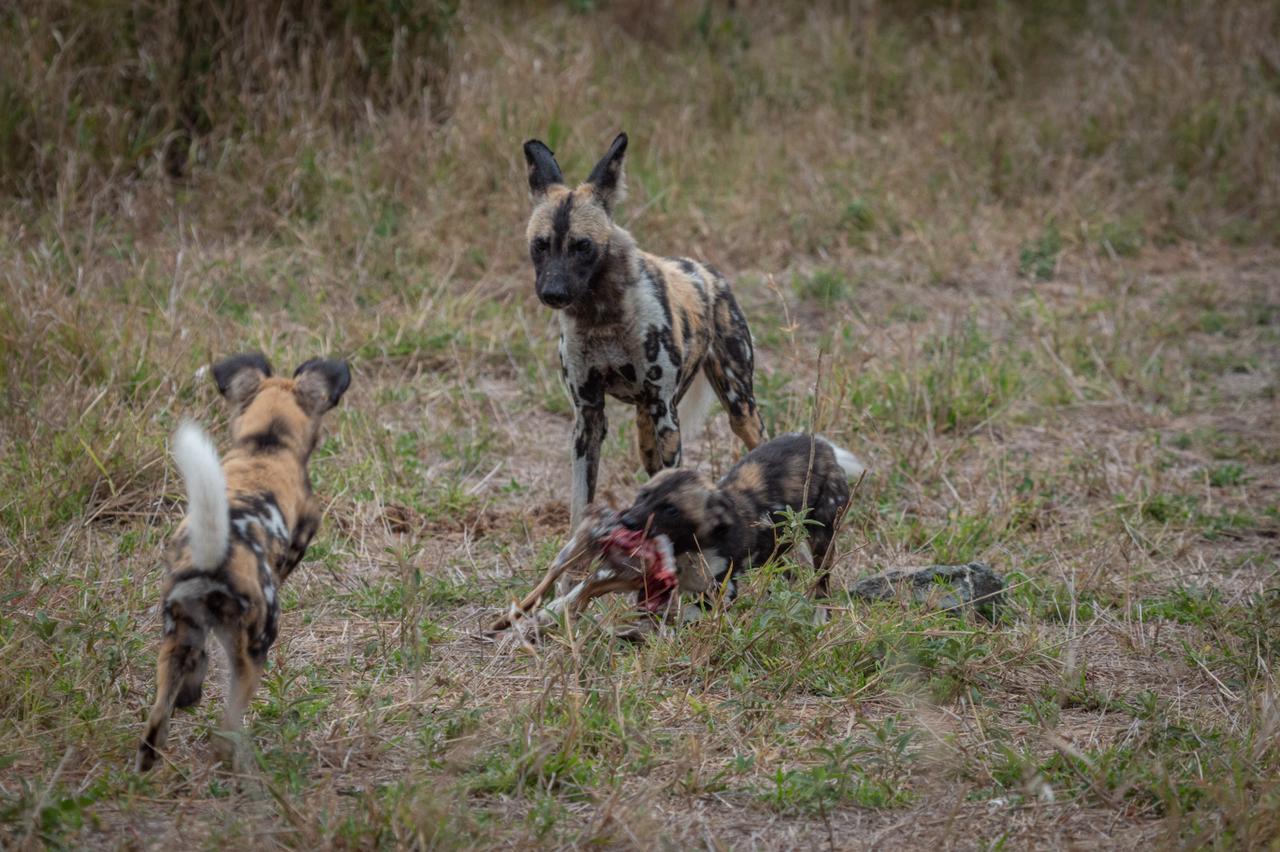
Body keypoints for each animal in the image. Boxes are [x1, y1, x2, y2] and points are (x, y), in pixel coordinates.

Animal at [135, 350, 350, 767]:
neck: (266, 442)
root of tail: (214, 556)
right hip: (253, 653)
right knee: (227, 728)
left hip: (176, 636)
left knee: (155, 727)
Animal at [522, 129, 762, 527]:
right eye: (540, 246)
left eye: (582, 246)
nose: (552, 292)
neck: (601, 317)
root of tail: (709, 270)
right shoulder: (587, 418)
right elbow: (580, 503)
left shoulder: (664, 412)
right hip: (646, 432)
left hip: (737, 408)